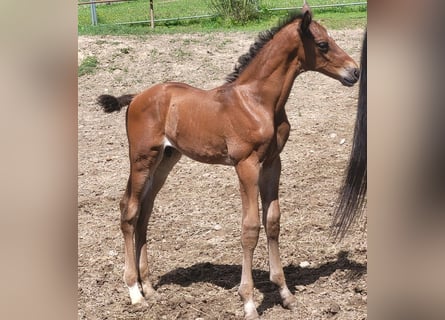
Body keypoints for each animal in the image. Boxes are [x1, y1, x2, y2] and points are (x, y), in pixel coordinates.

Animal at [96, 4, 358, 318]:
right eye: (322, 44)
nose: (355, 71)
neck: (257, 101)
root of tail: (135, 97)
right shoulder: (246, 164)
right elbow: (250, 227)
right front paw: (248, 302)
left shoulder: (273, 163)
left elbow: (272, 221)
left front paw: (285, 294)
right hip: (141, 157)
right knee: (129, 209)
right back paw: (135, 292)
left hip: (165, 159)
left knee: (145, 212)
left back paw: (148, 286)